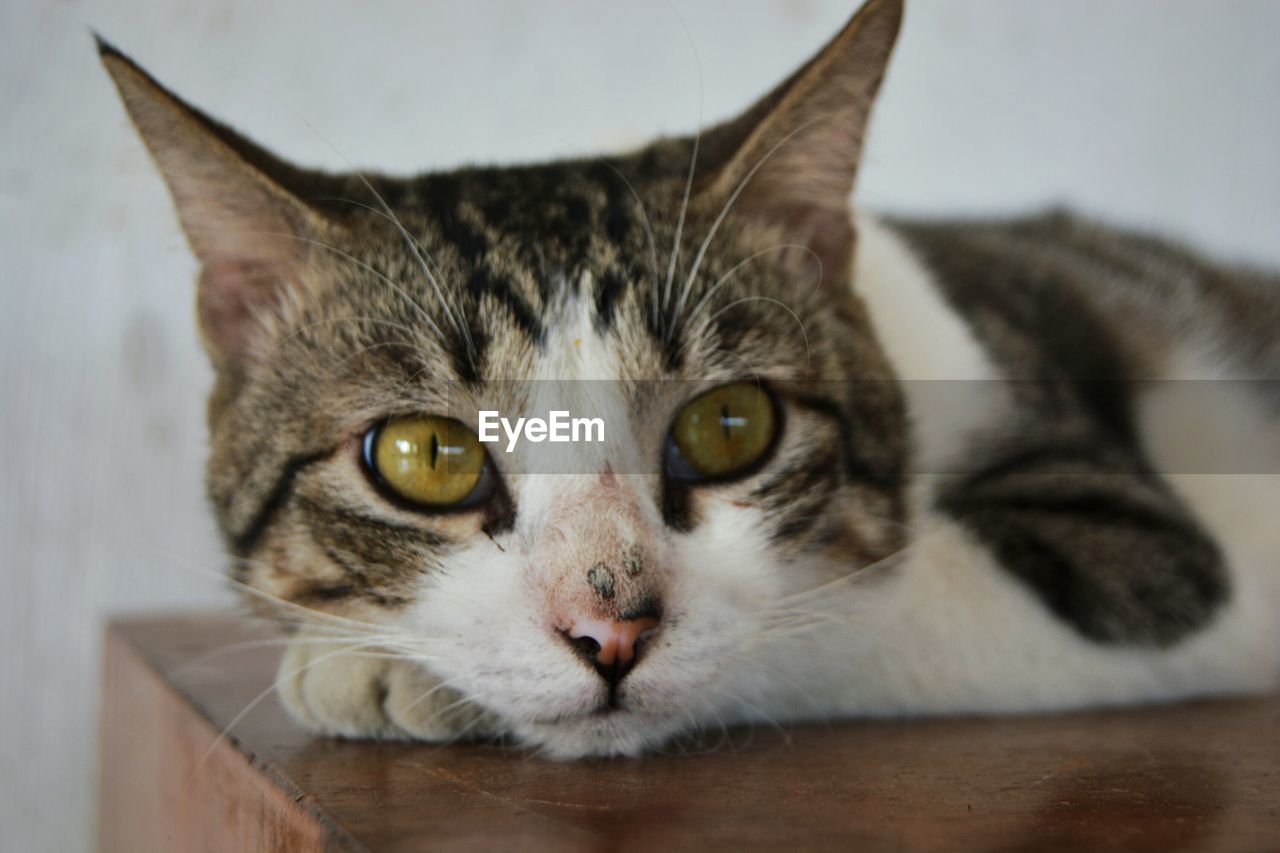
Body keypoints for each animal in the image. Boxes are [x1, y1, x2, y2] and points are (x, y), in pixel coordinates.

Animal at [102, 0, 1280, 758]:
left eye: (728, 426)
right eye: (426, 455)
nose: (610, 630)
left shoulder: (1157, 557)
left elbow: (811, 615)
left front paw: (380, 667)